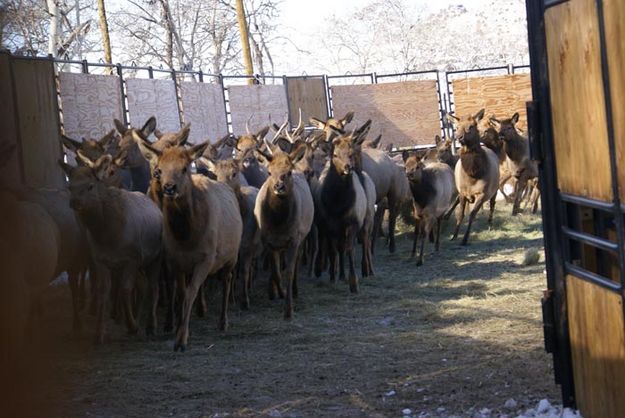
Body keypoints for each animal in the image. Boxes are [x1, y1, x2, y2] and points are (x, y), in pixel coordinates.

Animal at [58, 154, 163, 342]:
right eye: (70, 186)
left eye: (90, 185)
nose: (75, 202)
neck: (108, 236)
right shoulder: (100, 259)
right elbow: (102, 291)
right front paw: (99, 332)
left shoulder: (132, 258)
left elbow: (125, 289)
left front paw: (132, 326)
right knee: (142, 285)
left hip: (155, 257)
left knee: (153, 286)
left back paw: (151, 326)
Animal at [136, 136, 241, 352]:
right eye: (159, 169)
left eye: (184, 168)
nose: (169, 187)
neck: (186, 238)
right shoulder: (175, 261)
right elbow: (182, 294)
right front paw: (178, 330)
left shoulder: (207, 258)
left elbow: (191, 292)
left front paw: (181, 340)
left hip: (232, 256)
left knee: (227, 280)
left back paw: (223, 321)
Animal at [252, 139, 312, 318]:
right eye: (269, 172)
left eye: (289, 172)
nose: (279, 186)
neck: (278, 223)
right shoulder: (268, 241)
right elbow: (276, 272)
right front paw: (279, 292)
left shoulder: (294, 239)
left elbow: (289, 272)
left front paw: (288, 310)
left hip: (303, 237)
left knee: (297, 262)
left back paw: (295, 289)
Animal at [446, 109, 500, 245]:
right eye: (456, 127)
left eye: (471, 127)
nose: (458, 137)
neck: (472, 176)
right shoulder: (462, 192)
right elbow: (460, 214)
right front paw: (454, 236)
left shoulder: (482, 193)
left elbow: (472, 214)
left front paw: (465, 239)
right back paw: (446, 215)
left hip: (495, 188)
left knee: (492, 204)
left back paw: (490, 224)